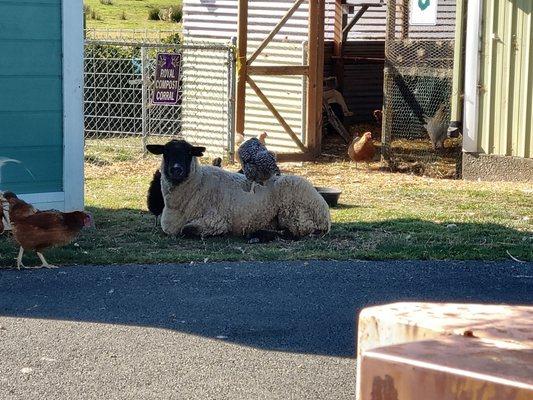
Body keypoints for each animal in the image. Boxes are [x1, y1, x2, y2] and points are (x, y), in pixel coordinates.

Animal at [145, 140, 328, 239]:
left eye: (189, 153)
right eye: (165, 152)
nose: (177, 170)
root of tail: (325, 213)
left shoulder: (215, 220)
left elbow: (187, 230)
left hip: (295, 213)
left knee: (296, 232)